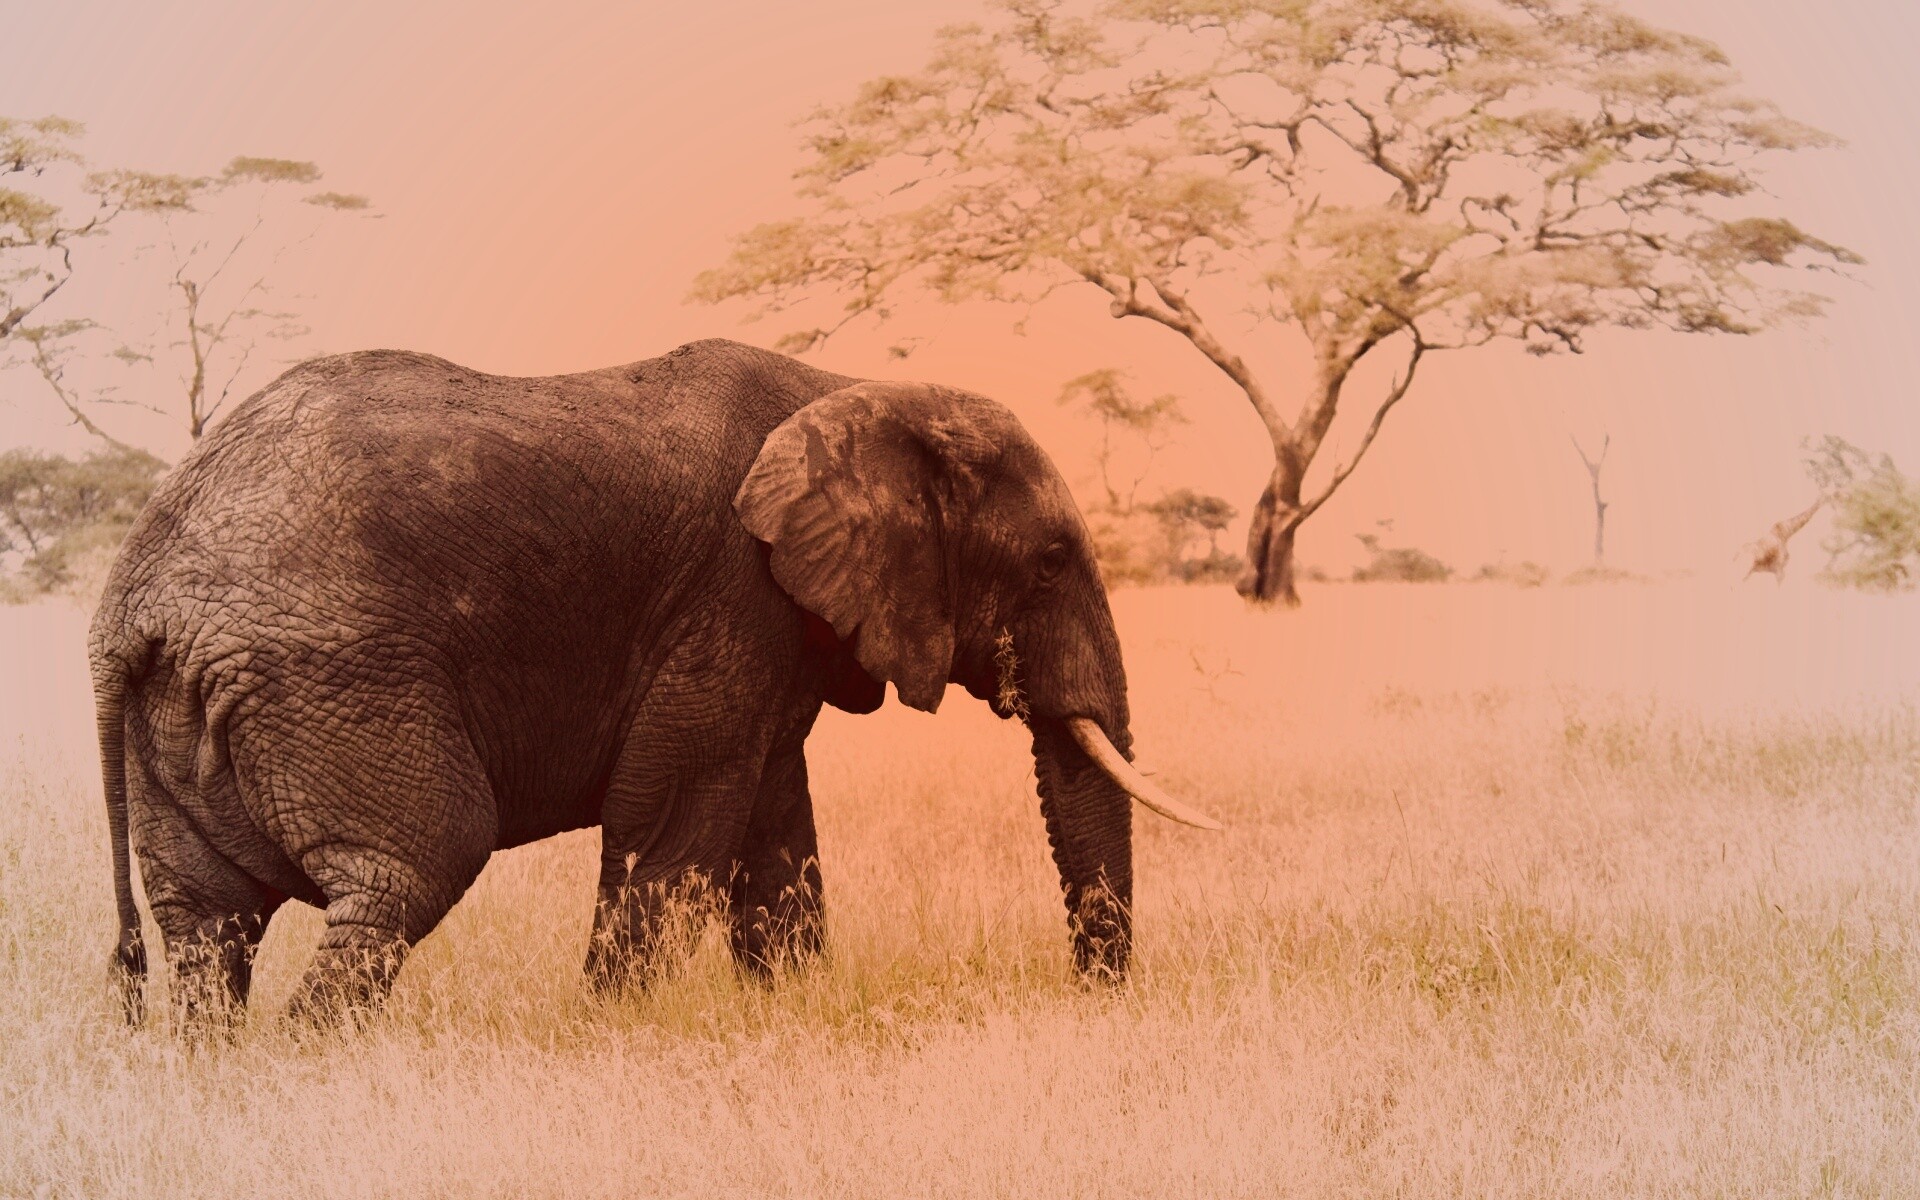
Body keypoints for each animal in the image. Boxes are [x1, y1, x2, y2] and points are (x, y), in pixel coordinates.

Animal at [90, 337, 1218, 1025]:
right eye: (1051, 560)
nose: (1092, 1000)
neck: (853, 389)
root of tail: (129, 595)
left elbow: (773, 826)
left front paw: (788, 1013)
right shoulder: (729, 593)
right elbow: (673, 816)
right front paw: (610, 1032)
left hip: (187, 710)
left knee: (207, 924)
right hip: (331, 677)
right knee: (410, 866)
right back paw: (311, 1065)